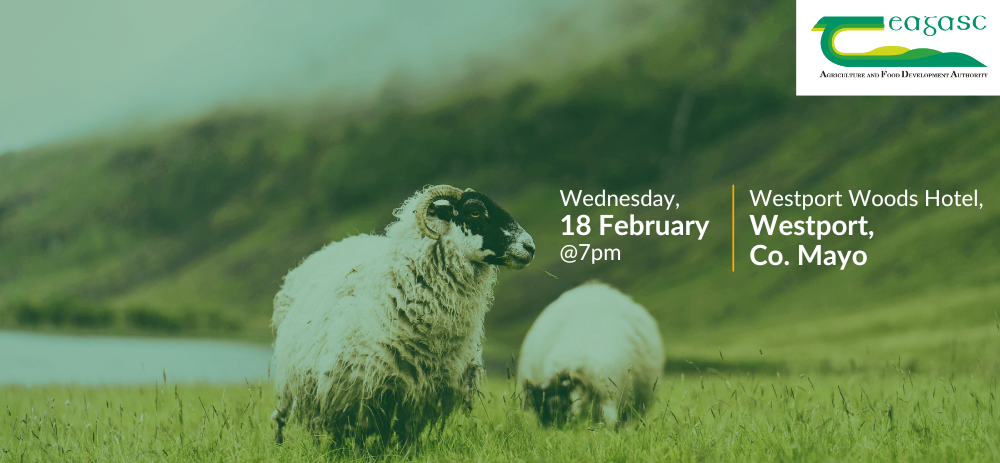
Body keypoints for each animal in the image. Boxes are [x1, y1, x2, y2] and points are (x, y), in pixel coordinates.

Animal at [270, 185, 535, 449]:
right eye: (475, 212)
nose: (530, 247)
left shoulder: (420, 396)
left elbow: (407, 437)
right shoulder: (355, 390)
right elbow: (355, 435)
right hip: (289, 379)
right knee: (281, 417)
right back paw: (280, 444)